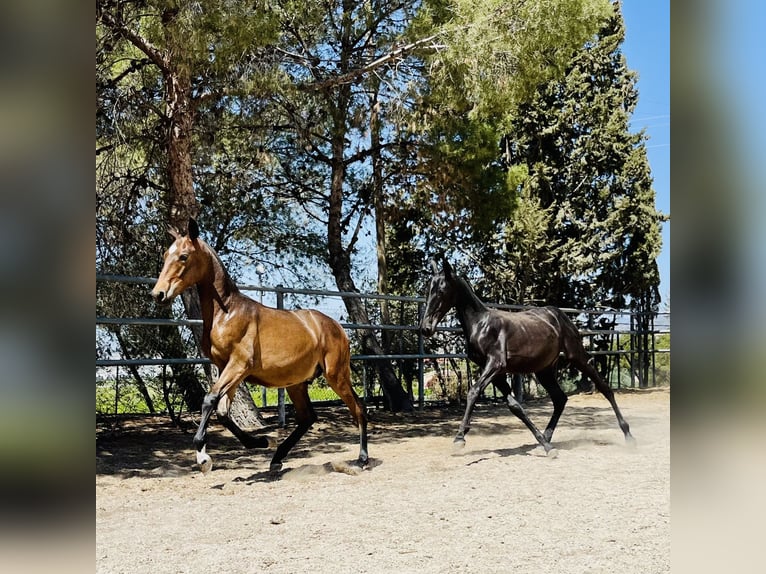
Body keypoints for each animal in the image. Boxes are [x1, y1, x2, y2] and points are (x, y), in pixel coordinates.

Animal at [151, 218, 368, 474]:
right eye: (166, 254)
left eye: (183, 256)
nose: (158, 294)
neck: (227, 312)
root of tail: (337, 326)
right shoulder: (228, 368)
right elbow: (222, 411)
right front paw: (261, 441)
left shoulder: (238, 365)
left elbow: (209, 399)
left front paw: (203, 458)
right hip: (297, 383)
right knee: (308, 418)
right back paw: (277, 458)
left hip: (336, 375)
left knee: (358, 408)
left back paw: (362, 458)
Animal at [420, 260, 636, 454]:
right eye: (428, 290)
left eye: (441, 291)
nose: (426, 328)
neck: (481, 325)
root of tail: (560, 315)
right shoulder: (494, 371)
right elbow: (515, 406)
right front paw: (545, 445)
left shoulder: (496, 364)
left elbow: (473, 392)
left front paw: (459, 438)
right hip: (544, 370)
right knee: (560, 398)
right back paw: (546, 441)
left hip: (576, 356)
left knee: (604, 387)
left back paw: (628, 434)